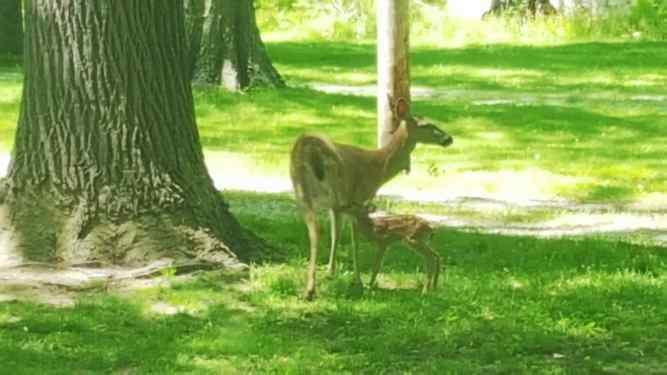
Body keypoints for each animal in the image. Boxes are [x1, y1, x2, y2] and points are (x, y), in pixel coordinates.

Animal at [290, 98, 452, 302]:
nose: (449, 138)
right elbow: (353, 237)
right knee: (321, 229)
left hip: (301, 189)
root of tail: (309, 147)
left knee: (314, 229)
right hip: (333, 186)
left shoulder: (338, 206)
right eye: (427, 125)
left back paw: (309, 289)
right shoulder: (356, 197)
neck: (379, 168)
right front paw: (356, 279)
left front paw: (330, 273)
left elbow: (336, 235)